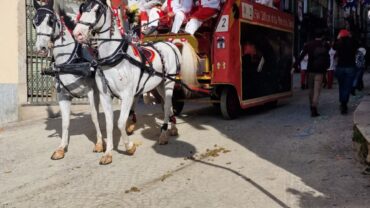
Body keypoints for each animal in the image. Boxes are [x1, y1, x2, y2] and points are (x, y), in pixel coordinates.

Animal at [33, 0, 104, 160]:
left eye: (51, 20)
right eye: (34, 22)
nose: (40, 48)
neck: (70, 61)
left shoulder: (92, 92)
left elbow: (94, 117)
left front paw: (99, 144)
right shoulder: (63, 95)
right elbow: (65, 122)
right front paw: (61, 148)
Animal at [73, 0, 199, 166]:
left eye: (97, 10)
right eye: (82, 9)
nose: (77, 33)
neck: (114, 59)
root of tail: (170, 44)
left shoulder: (127, 95)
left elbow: (120, 123)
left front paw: (129, 146)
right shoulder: (105, 97)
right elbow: (109, 124)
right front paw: (108, 153)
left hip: (168, 83)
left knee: (166, 107)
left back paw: (163, 134)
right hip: (159, 86)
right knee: (169, 104)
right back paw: (172, 128)